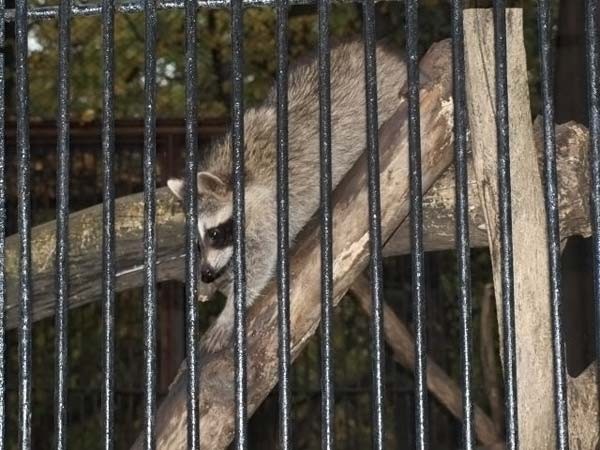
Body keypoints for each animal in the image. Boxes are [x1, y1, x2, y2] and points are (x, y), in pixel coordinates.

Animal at [167, 38, 408, 352]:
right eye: (197, 241)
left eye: (215, 234)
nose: (206, 272)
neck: (237, 170)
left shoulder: (274, 206)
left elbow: (261, 258)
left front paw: (231, 308)